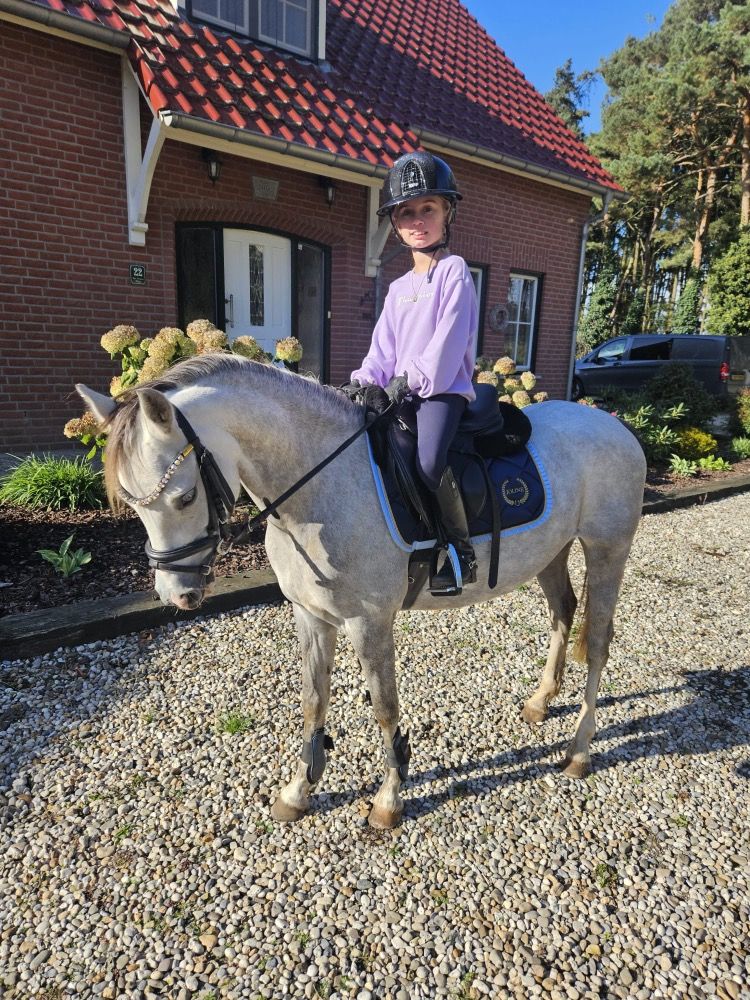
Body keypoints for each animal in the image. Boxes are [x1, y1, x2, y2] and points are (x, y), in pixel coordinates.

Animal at [77, 354, 646, 829]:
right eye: (130, 501)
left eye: (184, 496)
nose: (177, 594)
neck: (319, 489)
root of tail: (614, 424)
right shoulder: (311, 616)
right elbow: (313, 702)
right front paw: (298, 791)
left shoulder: (369, 622)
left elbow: (384, 709)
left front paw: (389, 800)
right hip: (551, 552)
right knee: (562, 613)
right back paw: (542, 700)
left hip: (607, 549)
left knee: (598, 641)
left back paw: (579, 750)